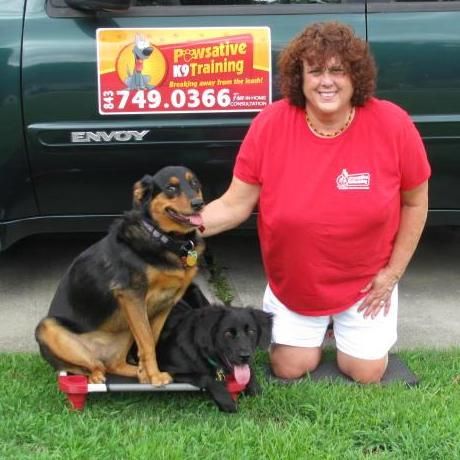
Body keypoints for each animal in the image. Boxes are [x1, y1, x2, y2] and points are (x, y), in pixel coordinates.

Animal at [35, 166, 205, 386]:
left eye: (195, 184)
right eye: (170, 188)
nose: (199, 204)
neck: (162, 238)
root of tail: (97, 351)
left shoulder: (165, 303)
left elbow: (151, 340)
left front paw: (148, 373)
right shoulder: (132, 296)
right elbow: (147, 342)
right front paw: (155, 376)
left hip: (125, 328)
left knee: (113, 364)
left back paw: (138, 373)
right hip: (48, 329)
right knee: (92, 366)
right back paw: (96, 376)